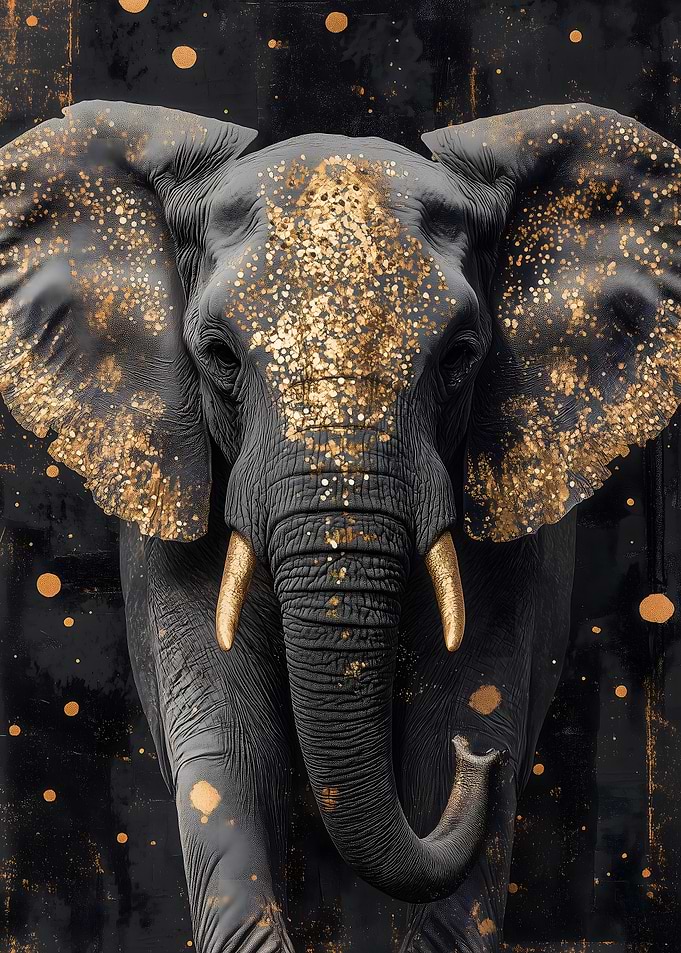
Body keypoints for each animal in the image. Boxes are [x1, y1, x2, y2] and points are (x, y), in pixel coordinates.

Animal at [0, 98, 679, 952]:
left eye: (459, 356)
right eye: (219, 354)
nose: (481, 762)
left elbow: (453, 721)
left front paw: (467, 741)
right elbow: (229, 752)